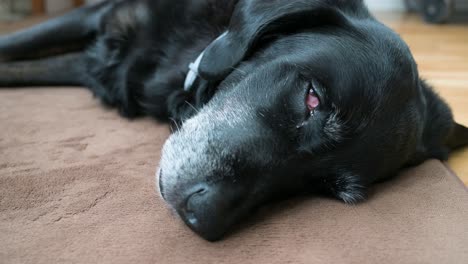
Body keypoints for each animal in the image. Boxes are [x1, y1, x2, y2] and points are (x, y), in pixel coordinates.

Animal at [0, 0, 468, 241]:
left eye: (323, 188)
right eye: (312, 98)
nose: (203, 219)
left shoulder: (94, 66)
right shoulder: (97, 17)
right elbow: (11, 48)